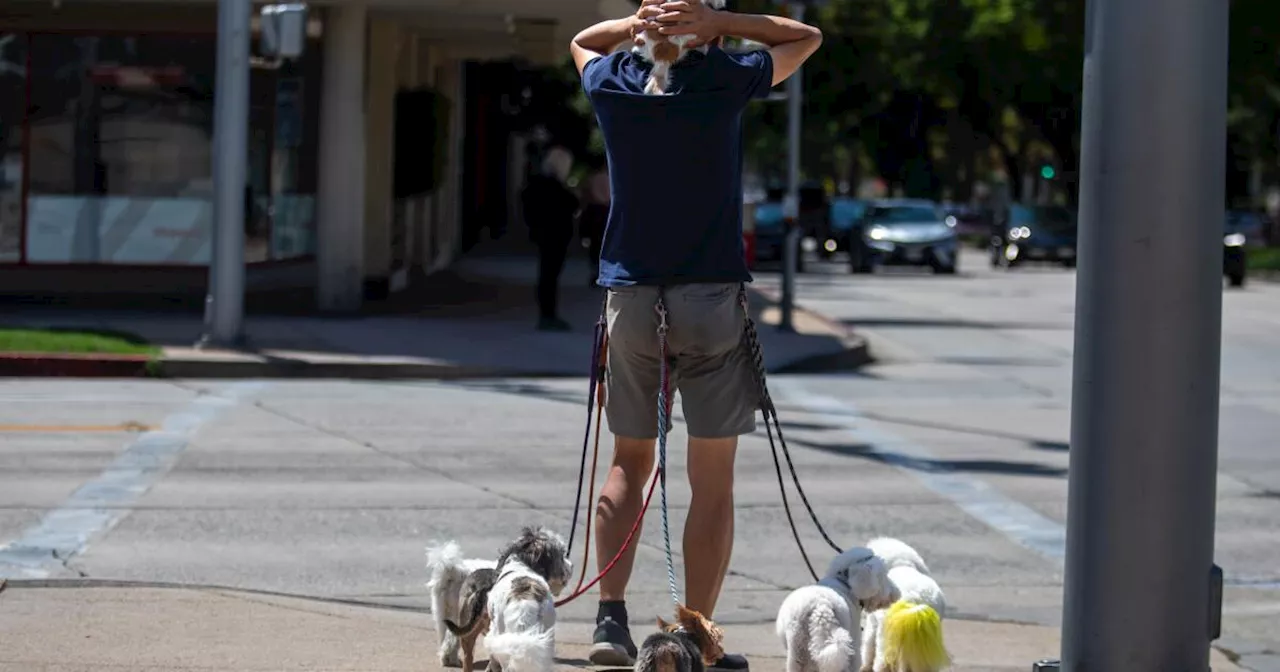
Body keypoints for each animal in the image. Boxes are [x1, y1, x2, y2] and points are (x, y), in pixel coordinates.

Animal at [860, 537, 952, 670]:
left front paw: (865, 666)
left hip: (887, 633)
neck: (901, 564)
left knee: (883, 661)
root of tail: (915, 601)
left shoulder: (873, 622)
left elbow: (868, 645)